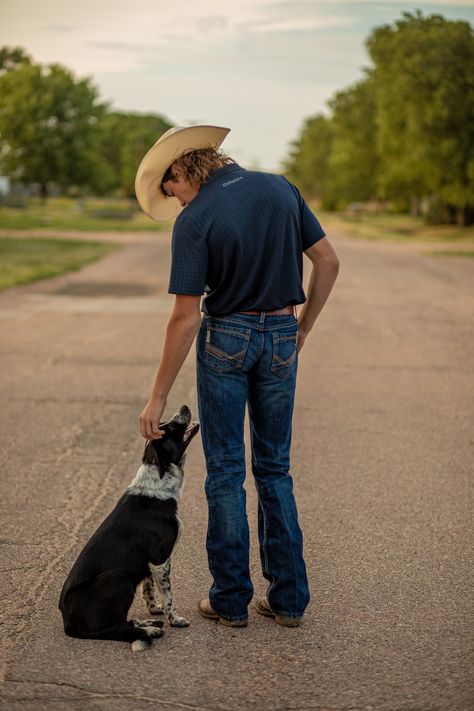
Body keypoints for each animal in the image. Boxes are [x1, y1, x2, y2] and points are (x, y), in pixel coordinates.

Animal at [58, 406, 199, 652]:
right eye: (170, 428)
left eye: (164, 423)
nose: (184, 407)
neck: (158, 484)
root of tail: (68, 623)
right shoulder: (160, 558)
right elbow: (168, 594)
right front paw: (175, 620)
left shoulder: (149, 562)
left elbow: (148, 588)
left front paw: (154, 610)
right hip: (120, 577)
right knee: (114, 627)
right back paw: (150, 630)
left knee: (123, 622)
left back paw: (148, 624)